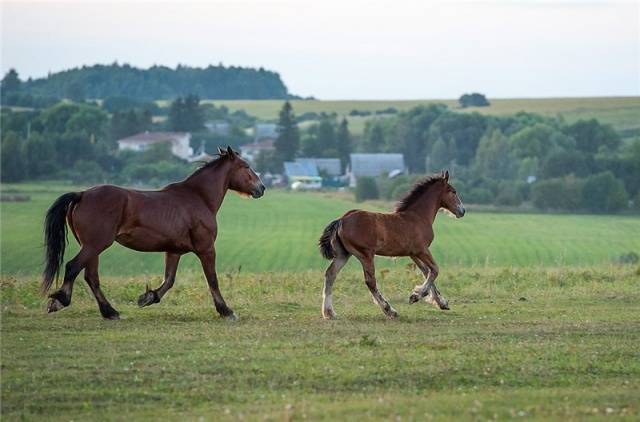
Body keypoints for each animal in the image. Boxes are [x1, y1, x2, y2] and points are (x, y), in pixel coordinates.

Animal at [42, 146, 264, 320]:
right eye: (246, 166)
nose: (261, 188)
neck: (198, 198)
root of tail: (81, 194)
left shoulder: (173, 251)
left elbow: (169, 280)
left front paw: (148, 298)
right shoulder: (206, 249)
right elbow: (212, 280)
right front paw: (226, 311)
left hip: (91, 246)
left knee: (91, 277)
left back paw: (109, 312)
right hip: (95, 245)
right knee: (73, 267)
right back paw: (61, 301)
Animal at [318, 170, 464, 318]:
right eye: (453, 191)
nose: (462, 211)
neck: (418, 217)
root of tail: (341, 219)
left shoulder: (413, 254)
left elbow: (426, 272)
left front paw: (441, 302)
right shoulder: (422, 250)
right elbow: (434, 270)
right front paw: (415, 296)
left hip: (343, 254)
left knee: (330, 275)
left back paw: (329, 313)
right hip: (365, 255)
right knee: (370, 281)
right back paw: (389, 310)